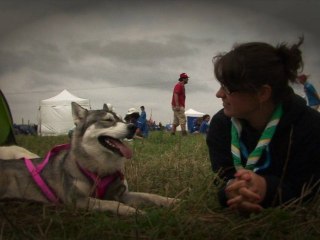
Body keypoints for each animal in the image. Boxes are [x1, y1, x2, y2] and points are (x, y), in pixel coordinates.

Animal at [0, 102, 176, 215]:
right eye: (108, 120)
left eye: (121, 119)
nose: (133, 127)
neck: (102, 168)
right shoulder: (77, 200)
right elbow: (111, 203)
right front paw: (133, 211)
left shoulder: (122, 193)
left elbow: (150, 196)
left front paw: (172, 201)